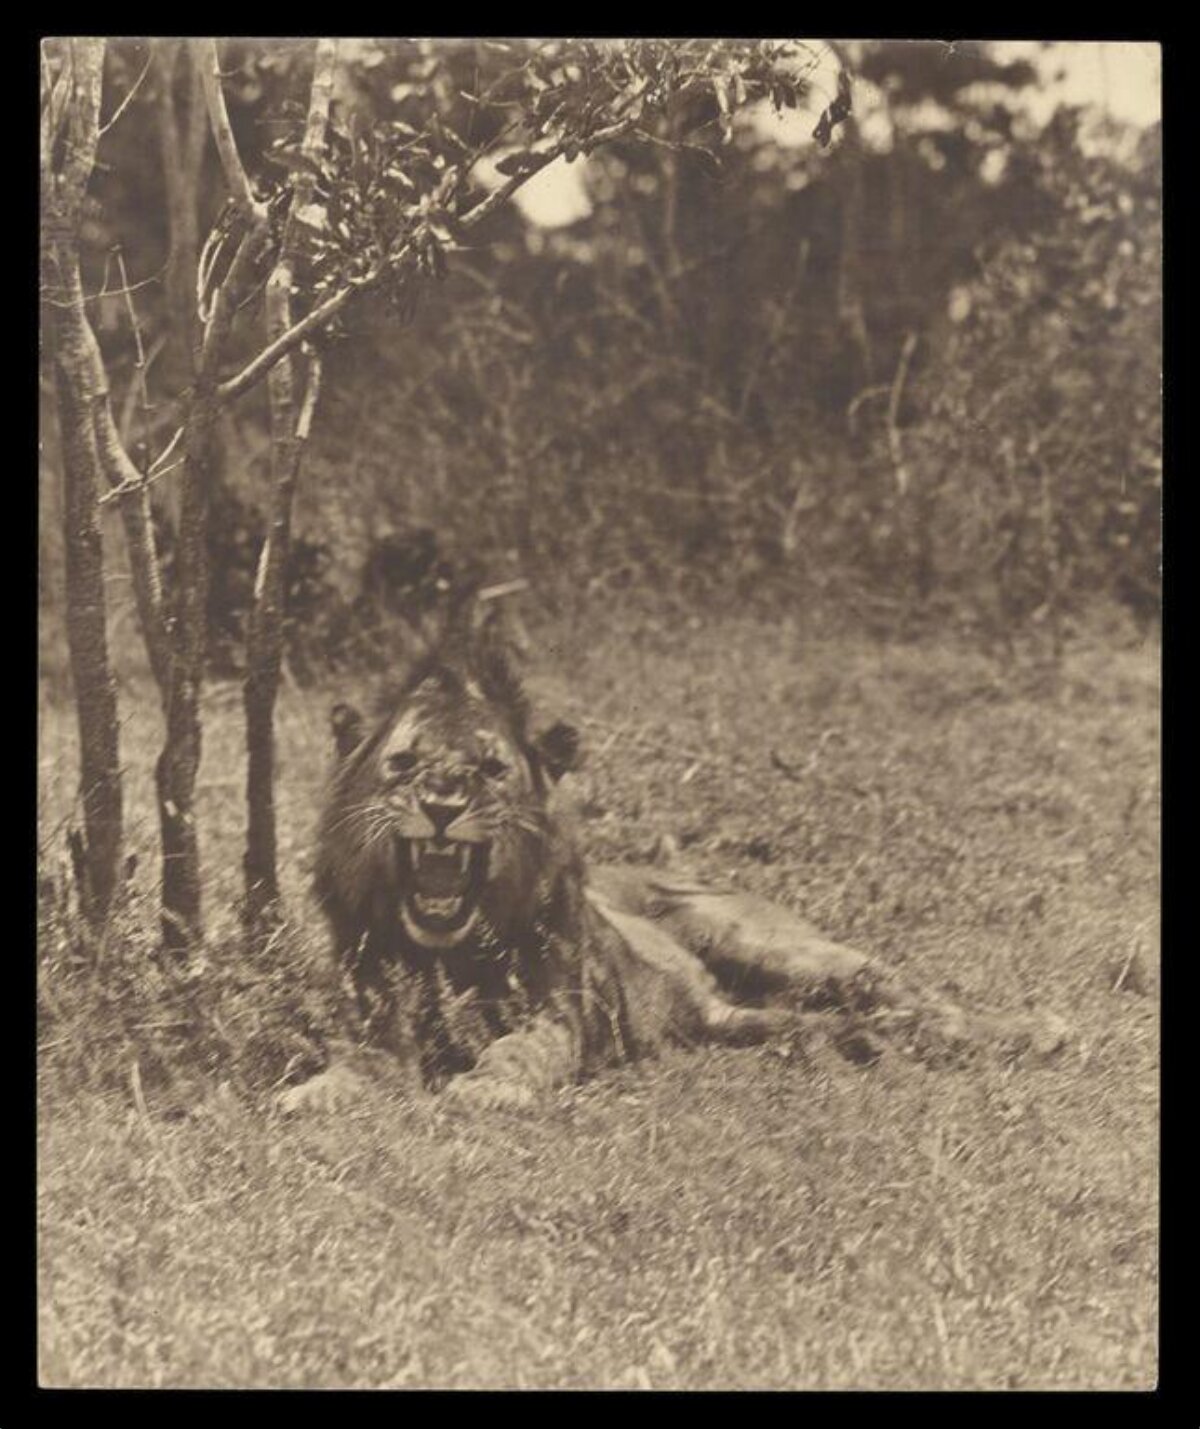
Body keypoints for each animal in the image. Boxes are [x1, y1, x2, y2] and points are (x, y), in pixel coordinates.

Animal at [285, 604, 1068, 1116]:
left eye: (490, 769)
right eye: (405, 762)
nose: (443, 801)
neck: (445, 951)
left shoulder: (556, 1013)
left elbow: (520, 1050)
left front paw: (487, 1085)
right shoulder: (376, 1020)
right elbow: (354, 1064)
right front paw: (314, 1093)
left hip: (775, 944)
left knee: (916, 993)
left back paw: (1031, 1031)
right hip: (742, 1016)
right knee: (842, 1023)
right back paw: (870, 1042)